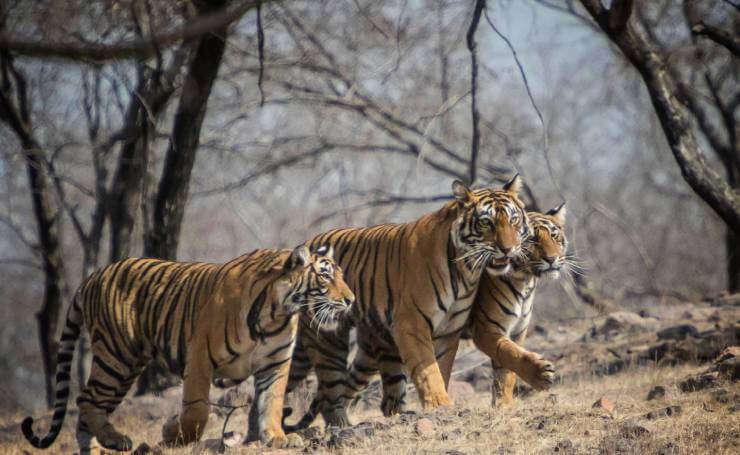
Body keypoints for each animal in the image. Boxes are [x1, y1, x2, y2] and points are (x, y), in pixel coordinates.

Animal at [21, 246, 356, 452]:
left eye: (342, 274)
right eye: (325, 275)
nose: (351, 300)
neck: (277, 312)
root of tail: (92, 276)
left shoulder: (275, 363)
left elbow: (272, 402)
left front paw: (277, 437)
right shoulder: (199, 357)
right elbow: (197, 409)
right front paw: (172, 432)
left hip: (126, 364)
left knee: (88, 407)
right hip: (117, 356)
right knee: (86, 399)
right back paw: (118, 440)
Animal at [280, 176, 528, 430]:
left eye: (513, 220)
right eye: (486, 222)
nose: (508, 249)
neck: (466, 271)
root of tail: (305, 244)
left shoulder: (449, 330)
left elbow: (441, 368)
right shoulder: (412, 323)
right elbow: (428, 370)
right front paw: (440, 405)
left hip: (371, 347)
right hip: (328, 340)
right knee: (328, 394)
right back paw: (341, 426)